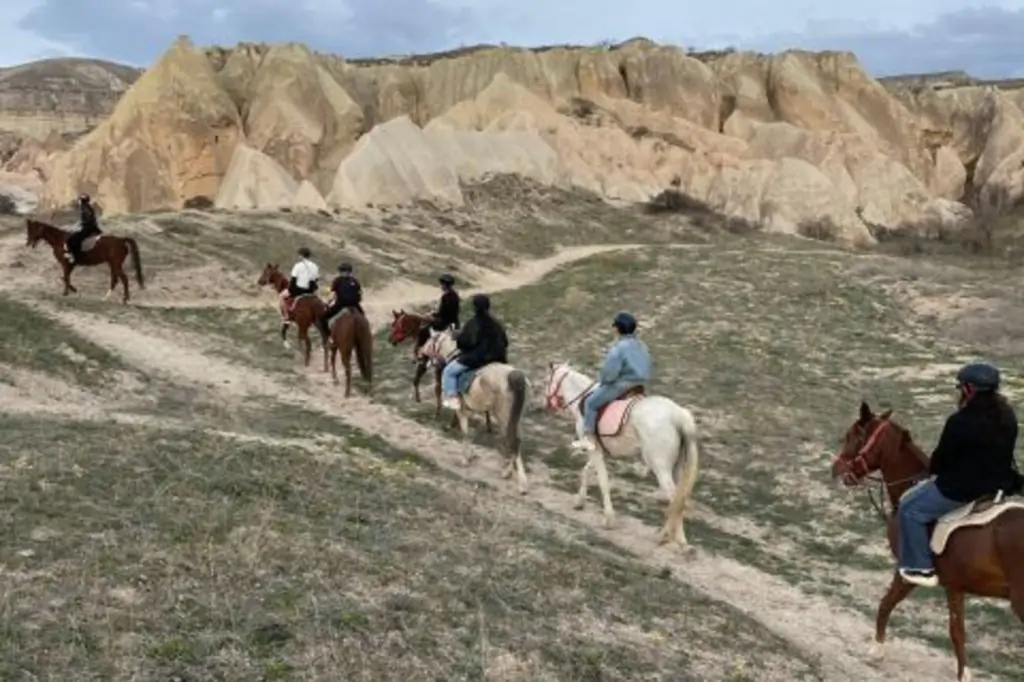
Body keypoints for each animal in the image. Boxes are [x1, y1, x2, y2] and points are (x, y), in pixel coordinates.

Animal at [417, 327, 528, 491]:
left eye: (429, 341)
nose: (419, 354)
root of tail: (514, 375)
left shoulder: (461, 410)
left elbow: (465, 433)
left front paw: (465, 459)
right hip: (514, 418)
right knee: (516, 442)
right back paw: (510, 474)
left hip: (504, 417)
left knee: (512, 441)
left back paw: (520, 483)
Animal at [540, 358, 700, 544]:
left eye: (546, 381)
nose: (547, 405)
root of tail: (678, 415)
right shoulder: (599, 450)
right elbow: (587, 470)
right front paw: (579, 501)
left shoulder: (594, 450)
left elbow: (602, 480)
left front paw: (608, 519)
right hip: (678, 467)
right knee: (680, 499)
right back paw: (680, 539)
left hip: (660, 467)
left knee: (674, 498)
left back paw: (665, 535)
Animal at [827, 399, 1024, 679]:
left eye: (853, 436)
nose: (836, 469)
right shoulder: (955, 586)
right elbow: (957, 632)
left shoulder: (908, 571)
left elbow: (887, 604)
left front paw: (876, 649)